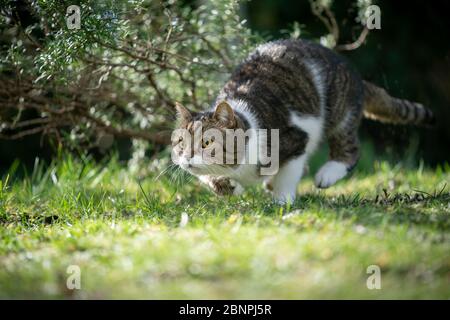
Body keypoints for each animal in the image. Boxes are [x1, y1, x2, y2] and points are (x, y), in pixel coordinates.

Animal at [171, 38, 434, 204]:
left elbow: (289, 172)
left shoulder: (296, 139)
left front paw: (283, 200)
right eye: (181, 143)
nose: (186, 157)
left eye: (207, 143)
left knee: (349, 148)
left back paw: (327, 174)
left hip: (340, 110)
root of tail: (355, 75)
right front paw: (227, 186)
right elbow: (207, 177)